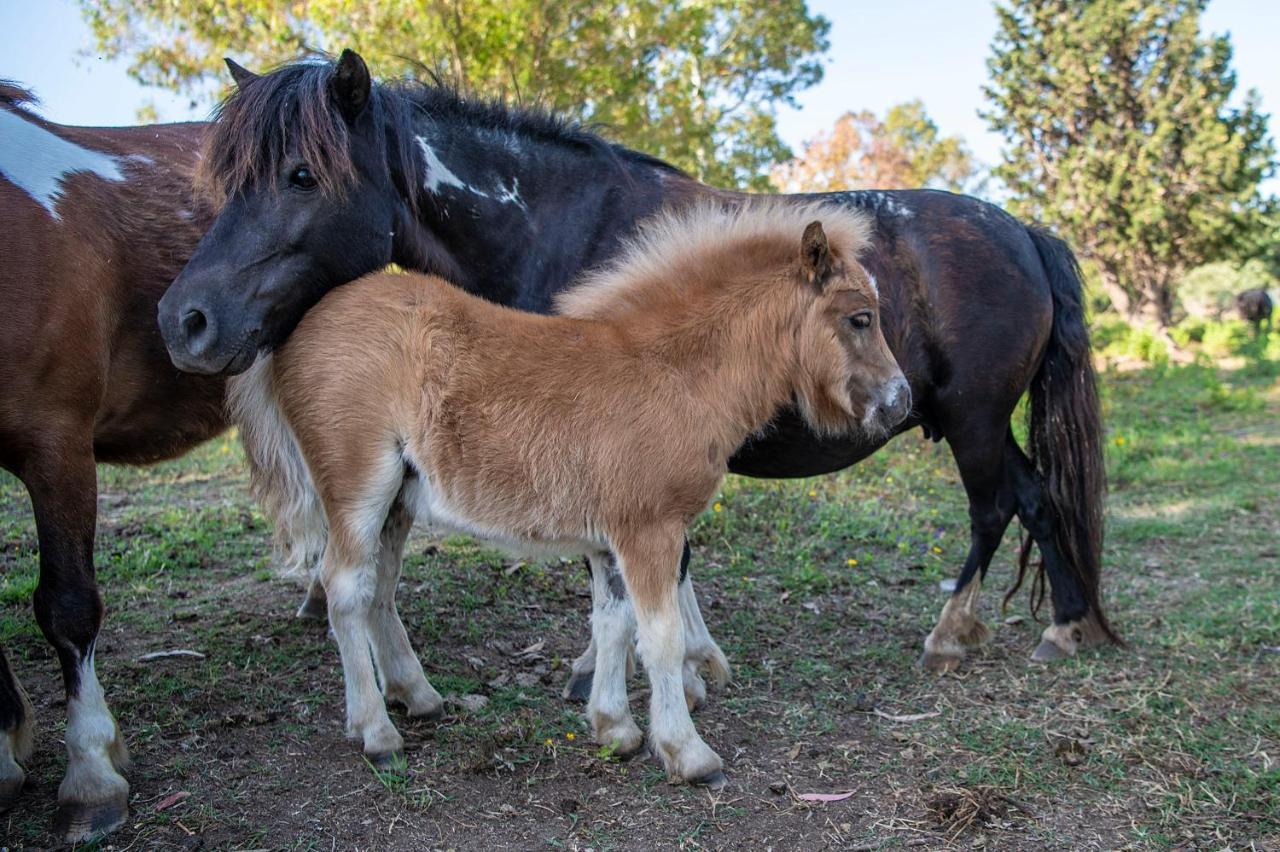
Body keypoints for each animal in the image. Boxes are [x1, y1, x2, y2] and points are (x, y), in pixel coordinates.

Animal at [232, 200, 911, 782]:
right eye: (860, 318)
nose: (900, 402)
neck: (676, 371)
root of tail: (296, 329)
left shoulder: (613, 536)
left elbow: (612, 622)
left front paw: (615, 728)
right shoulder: (650, 530)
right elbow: (659, 637)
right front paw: (687, 752)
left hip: (398, 501)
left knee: (380, 589)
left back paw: (418, 696)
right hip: (358, 487)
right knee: (346, 590)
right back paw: (376, 732)